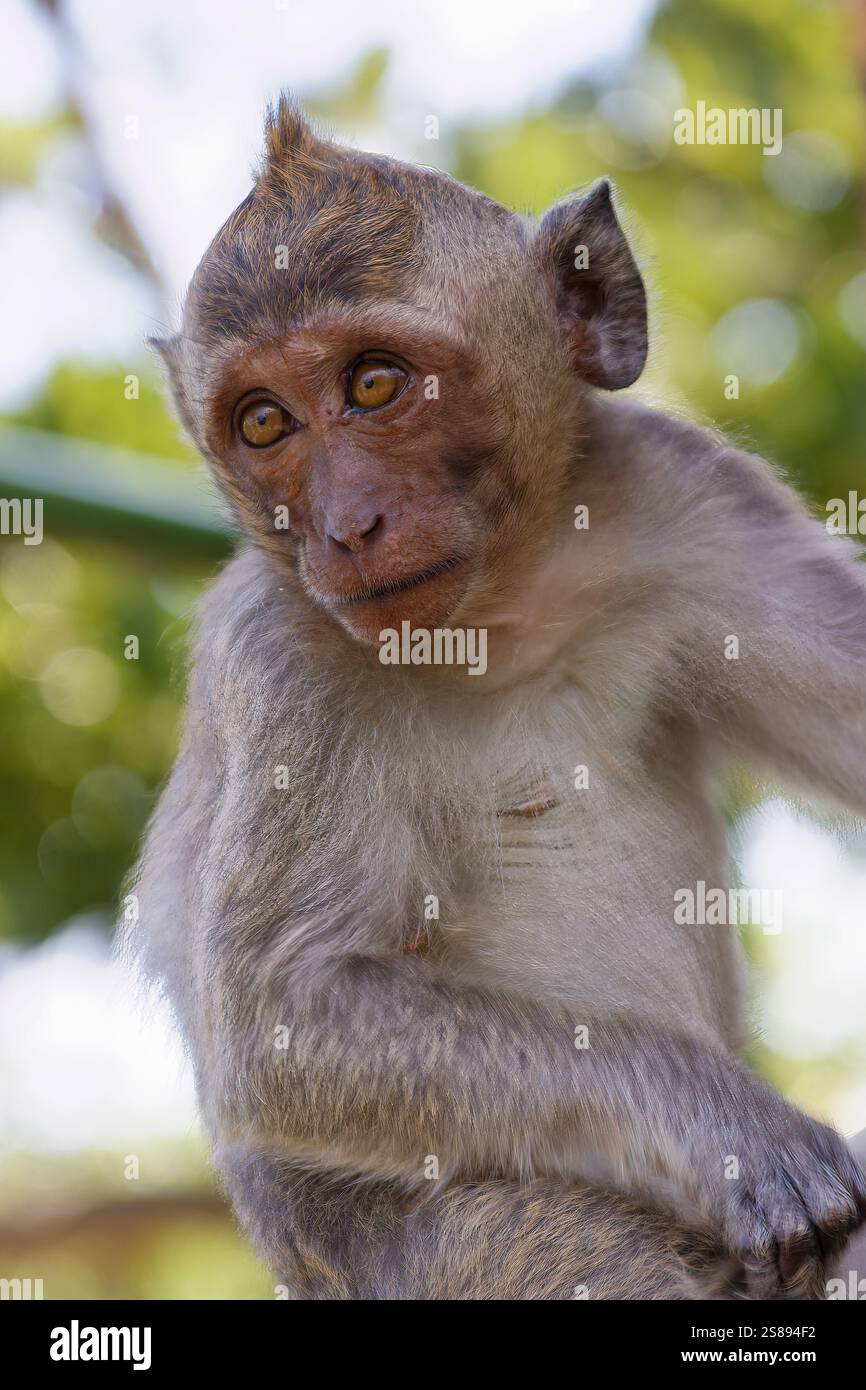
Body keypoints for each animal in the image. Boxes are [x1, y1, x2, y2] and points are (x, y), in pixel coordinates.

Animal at [131, 97, 866, 1300]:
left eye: (374, 384)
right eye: (265, 423)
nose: (345, 526)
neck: (502, 613)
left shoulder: (695, 497)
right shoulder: (276, 660)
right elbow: (286, 1019)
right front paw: (731, 1130)